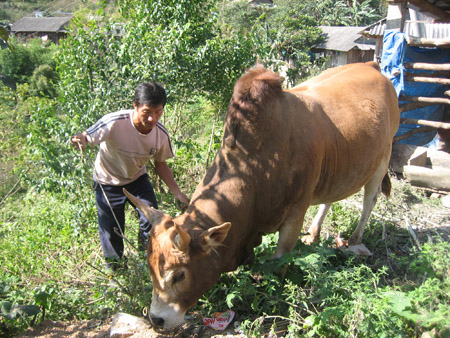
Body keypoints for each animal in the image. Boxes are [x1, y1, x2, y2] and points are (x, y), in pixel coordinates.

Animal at [122, 61, 398, 330]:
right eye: (150, 269)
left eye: (180, 274)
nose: (156, 320)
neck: (257, 165)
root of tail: (372, 65)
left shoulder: (296, 210)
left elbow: (279, 263)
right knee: (331, 198)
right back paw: (314, 233)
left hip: (384, 155)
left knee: (369, 200)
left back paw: (355, 241)